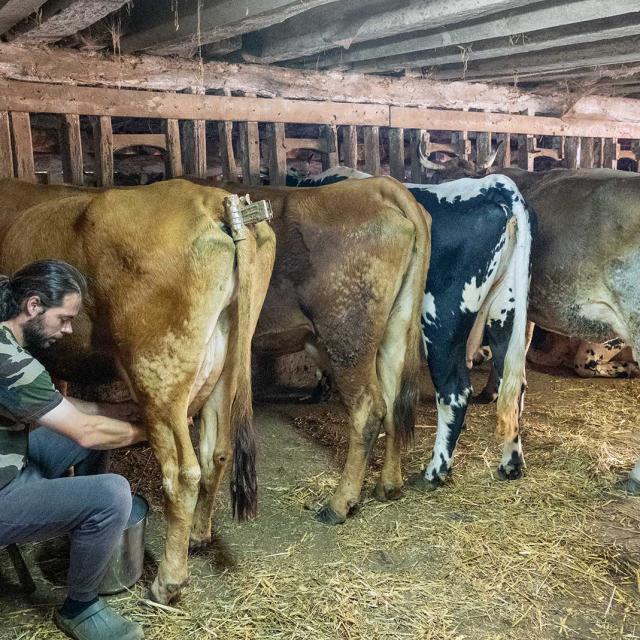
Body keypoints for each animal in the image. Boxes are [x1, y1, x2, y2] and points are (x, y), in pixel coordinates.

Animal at [0, 178, 274, 604]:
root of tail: (215, 200)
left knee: (181, 472)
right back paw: (198, 536)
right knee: (217, 452)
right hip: (227, 362)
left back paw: (168, 582)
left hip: (157, 371)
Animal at [220, 176, 430, 524]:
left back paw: (339, 504)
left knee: (368, 409)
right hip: (394, 331)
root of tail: (378, 185)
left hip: (347, 338)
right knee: (392, 402)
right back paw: (389, 485)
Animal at [288, 168, 532, 488]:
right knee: (512, 387)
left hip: (442, 320)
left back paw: (435, 472)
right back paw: (511, 464)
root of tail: (491, 185)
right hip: (505, 312)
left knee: (455, 392)